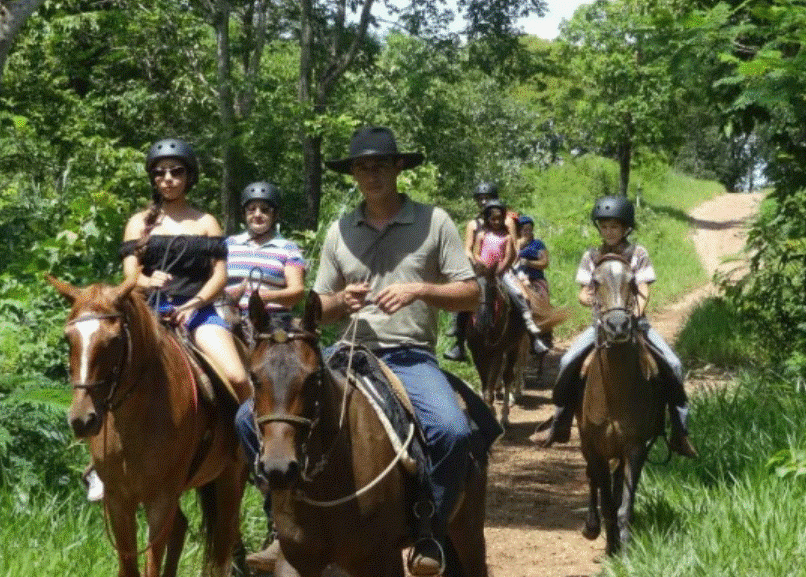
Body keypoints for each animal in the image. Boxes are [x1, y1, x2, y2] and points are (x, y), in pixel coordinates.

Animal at [47, 276, 248, 576]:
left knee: (223, 548)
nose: (83, 419)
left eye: (115, 339)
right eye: (67, 337)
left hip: (230, 479)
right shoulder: (118, 500)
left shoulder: (160, 501)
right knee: (181, 528)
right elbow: (129, 566)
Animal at [246, 292, 490, 576]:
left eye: (314, 376)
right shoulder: (295, 561)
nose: (279, 469)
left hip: (468, 530)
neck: (328, 481)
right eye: (254, 377)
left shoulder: (378, 559)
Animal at [576, 255, 664, 552]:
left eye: (633, 280)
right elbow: (606, 501)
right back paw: (592, 527)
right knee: (591, 477)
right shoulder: (597, 448)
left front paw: (624, 549)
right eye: (595, 282)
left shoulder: (634, 447)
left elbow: (624, 504)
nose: (617, 326)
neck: (614, 395)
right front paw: (609, 541)